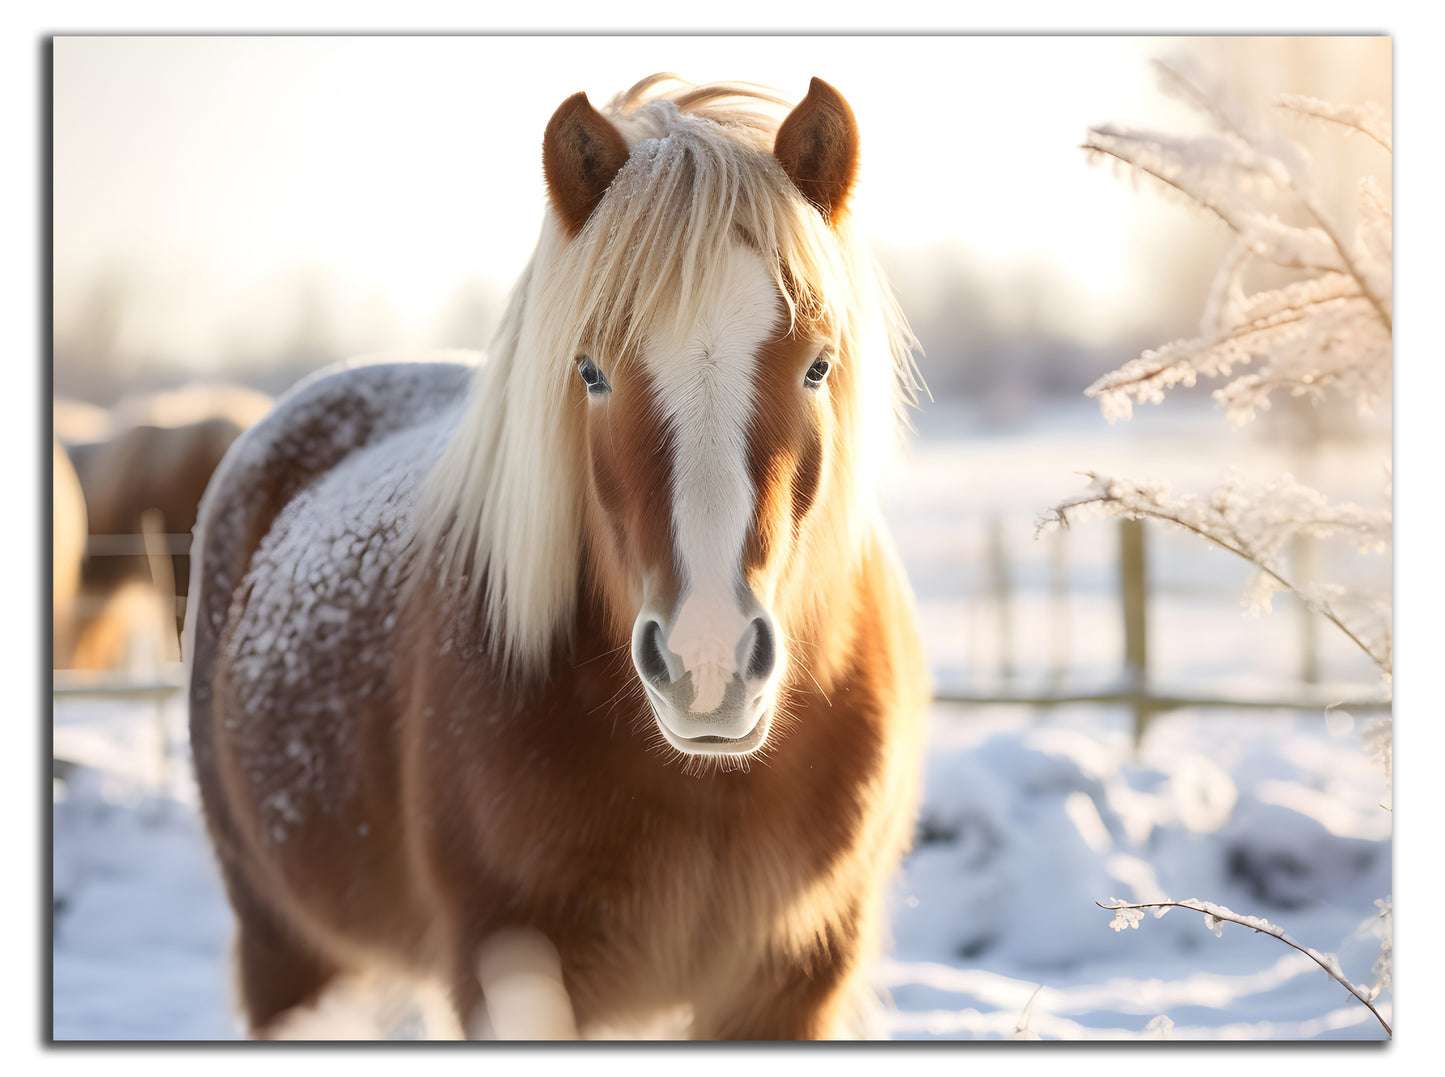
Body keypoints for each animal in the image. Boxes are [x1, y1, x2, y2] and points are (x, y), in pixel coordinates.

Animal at [188, 74, 930, 1040]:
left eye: (817, 365)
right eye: (590, 370)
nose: (708, 662)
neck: (708, 786)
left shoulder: (791, 982)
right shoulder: (513, 970)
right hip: (285, 950)